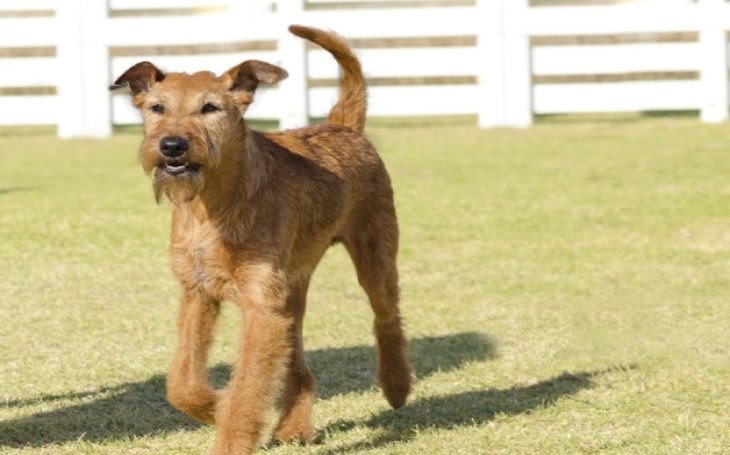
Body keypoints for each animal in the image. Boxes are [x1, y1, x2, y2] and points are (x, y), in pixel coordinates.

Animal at [111, 25, 412, 455]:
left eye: (210, 108)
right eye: (157, 107)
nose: (172, 146)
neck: (213, 205)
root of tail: (343, 125)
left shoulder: (260, 306)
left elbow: (247, 389)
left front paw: (229, 431)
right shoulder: (198, 294)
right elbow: (182, 383)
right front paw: (214, 407)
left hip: (375, 260)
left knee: (387, 318)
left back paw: (397, 386)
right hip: (293, 292)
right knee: (299, 365)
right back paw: (293, 429)